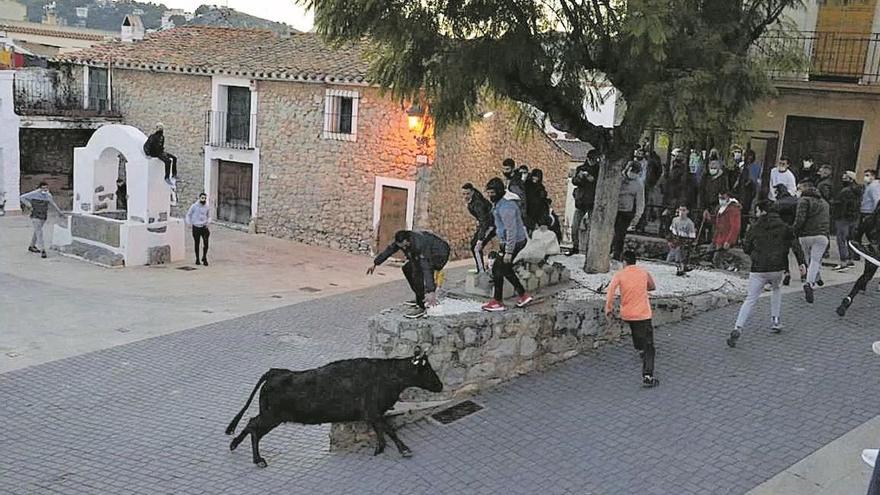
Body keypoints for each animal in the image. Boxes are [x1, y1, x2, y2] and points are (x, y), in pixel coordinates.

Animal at [225, 346, 440, 466]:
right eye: (428, 369)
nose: (441, 385)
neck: (386, 375)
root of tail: (275, 372)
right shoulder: (373, 411)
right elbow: (389, 429)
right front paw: (404, 450)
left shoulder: (372, 414)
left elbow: (380, 429)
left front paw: (380, 448)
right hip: (272, 417)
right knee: (254, 428)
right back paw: (258, 460)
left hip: (268, 415)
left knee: (250, 423)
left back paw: (234, 444)